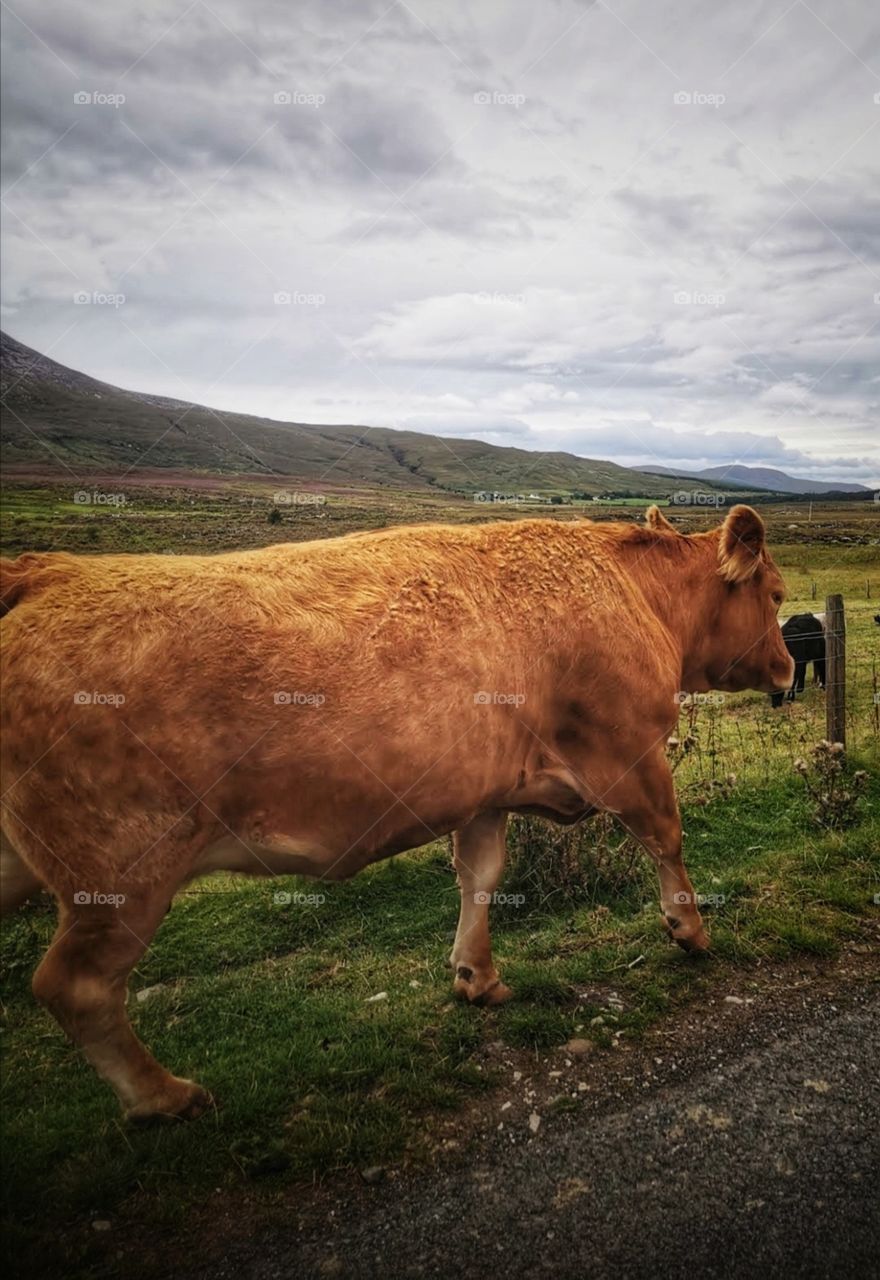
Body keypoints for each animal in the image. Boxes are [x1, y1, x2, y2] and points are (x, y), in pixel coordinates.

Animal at [0, 504, 794, 1121]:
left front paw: (477, 974)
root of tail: (46, 571)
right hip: (123, 873)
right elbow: (667, 836)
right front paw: (690, 929)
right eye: (779, 595)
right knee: (75, 987)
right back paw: (163, 1096)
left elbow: (481, 876)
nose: (789, 669)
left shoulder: (484, 790)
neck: (635, 591)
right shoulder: (629, 753)